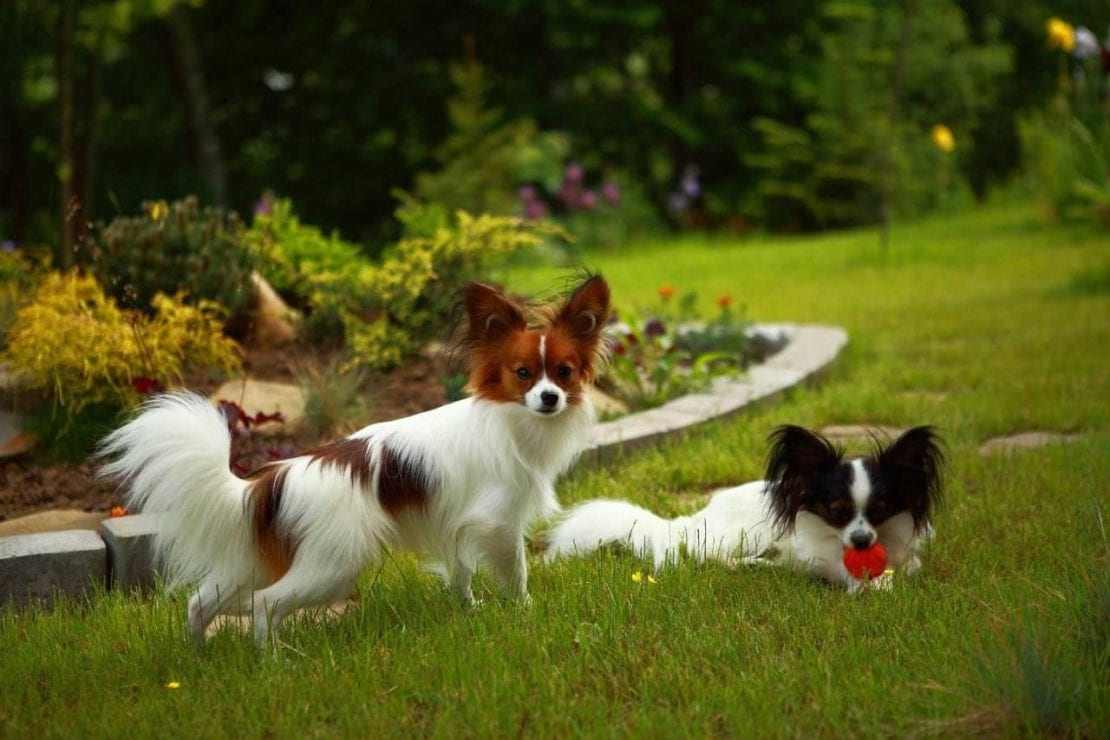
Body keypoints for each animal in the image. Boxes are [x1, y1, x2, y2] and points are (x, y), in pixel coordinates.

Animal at [99, 274, 612, 643]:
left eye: (564, 373)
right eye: (523, 374)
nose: (549, 398)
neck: (510, 420)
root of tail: (271, 481)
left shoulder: (455, 522)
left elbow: (461, 574)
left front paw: (470, 610)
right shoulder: (498, 523)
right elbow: (517, 572)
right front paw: (524, 612)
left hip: (261, 559)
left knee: (201, 602)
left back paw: (199, 655)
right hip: (334, 564)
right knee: (266, 604)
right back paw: (276, 663)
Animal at [541, 426, 941, 594]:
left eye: (880, 509)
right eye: (837, 510)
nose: (860, 541)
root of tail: (690, 520)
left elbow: (912, 566)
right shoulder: (824, 556)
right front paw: (875, 584)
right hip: (747, 534)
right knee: (715, 557)